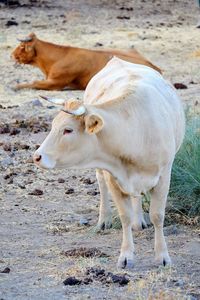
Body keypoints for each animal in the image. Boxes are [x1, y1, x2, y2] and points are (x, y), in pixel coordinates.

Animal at [11, 32, 161, 90]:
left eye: (22, 46)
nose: (11, 55)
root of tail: (154, 67)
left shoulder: (56, 82)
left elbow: (34, 83)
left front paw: (16, 86)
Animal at [32, 57, 184, 268]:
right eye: (53, 125)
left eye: (68, 130)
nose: (37, 156)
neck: (135, 132)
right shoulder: (113, 175)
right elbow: (124, 216)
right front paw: (126, 256)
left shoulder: (164, 175)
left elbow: (157, 215)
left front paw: (162, 256)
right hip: (101, 170)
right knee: (102, 184)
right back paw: (105, 219)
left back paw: (139, 221)